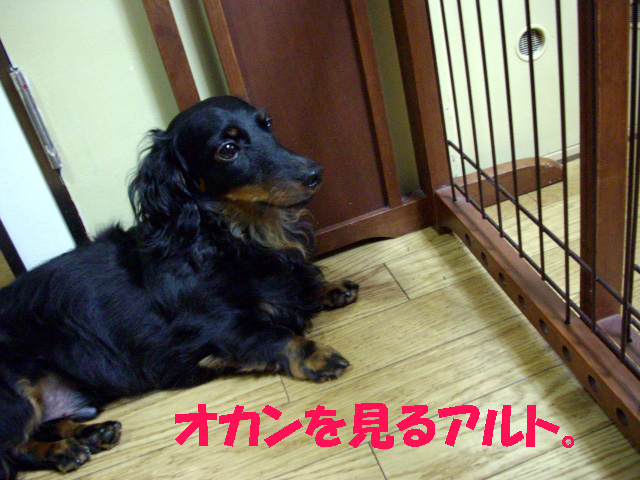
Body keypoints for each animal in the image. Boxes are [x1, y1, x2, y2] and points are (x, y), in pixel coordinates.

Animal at [0, 96, 359, 479]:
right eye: (228, 150)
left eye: (268, 124)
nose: (315, 174)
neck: (227, 237)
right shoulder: (223, 329)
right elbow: (279, 335)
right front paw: (317, 354)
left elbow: (303, 286)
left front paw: (332, 287)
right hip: (14, 390)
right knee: (13, 449)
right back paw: (64, 451)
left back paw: (94, 433)